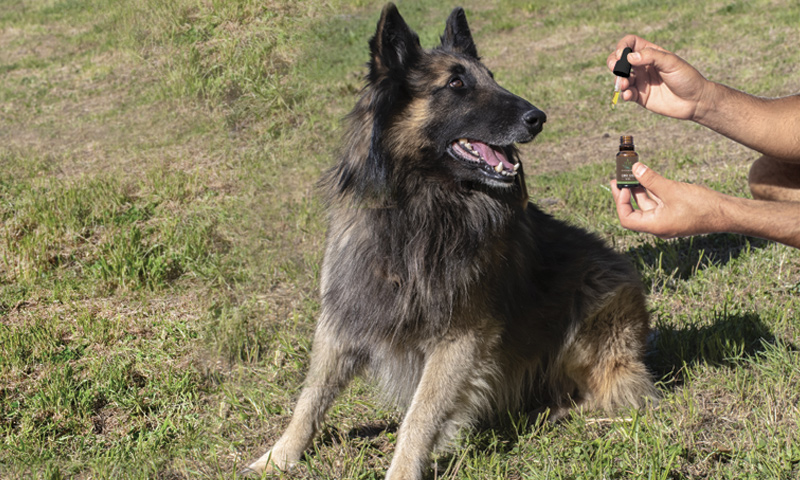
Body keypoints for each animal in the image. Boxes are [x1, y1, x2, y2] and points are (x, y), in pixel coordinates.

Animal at [244, 2, 656, 476]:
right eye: (456, 84)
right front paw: (279, 456)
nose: (538, 118)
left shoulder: (461, 337)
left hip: (593, 301)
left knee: (614, 389)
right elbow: (311, 396)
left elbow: (420, 416)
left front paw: (402, 470)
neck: (422, 206)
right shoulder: (347, 312)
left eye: (491, 77)